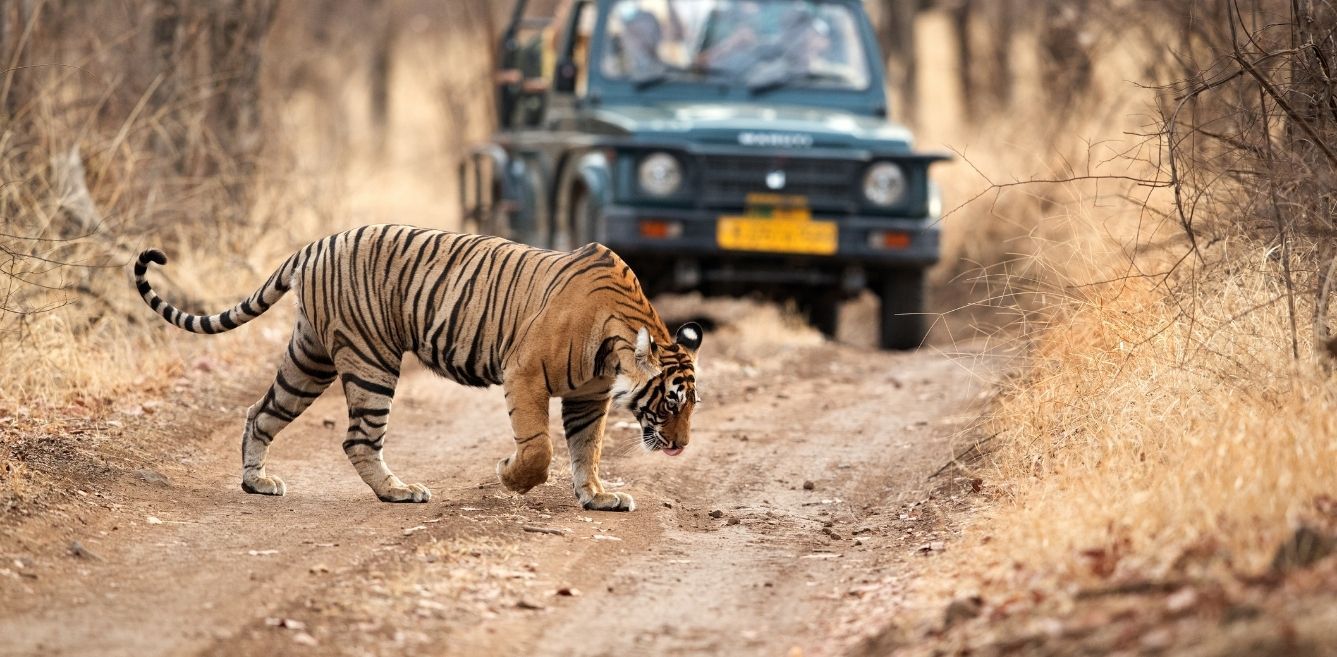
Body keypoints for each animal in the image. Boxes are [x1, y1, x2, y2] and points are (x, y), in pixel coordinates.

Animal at [130, 226, 705, 513]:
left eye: (691, 405)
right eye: (671, 401)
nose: (681, 446)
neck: (616, 342)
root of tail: (315, 244)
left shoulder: (590, 395)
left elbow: (588, 449)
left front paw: (598, 496)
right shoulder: (524, 373)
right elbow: (539, 448)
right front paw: (509, 475)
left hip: (310, 358)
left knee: (261, 411)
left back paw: (257, 482)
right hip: (371, 360)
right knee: (358, 438)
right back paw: (398, 492)